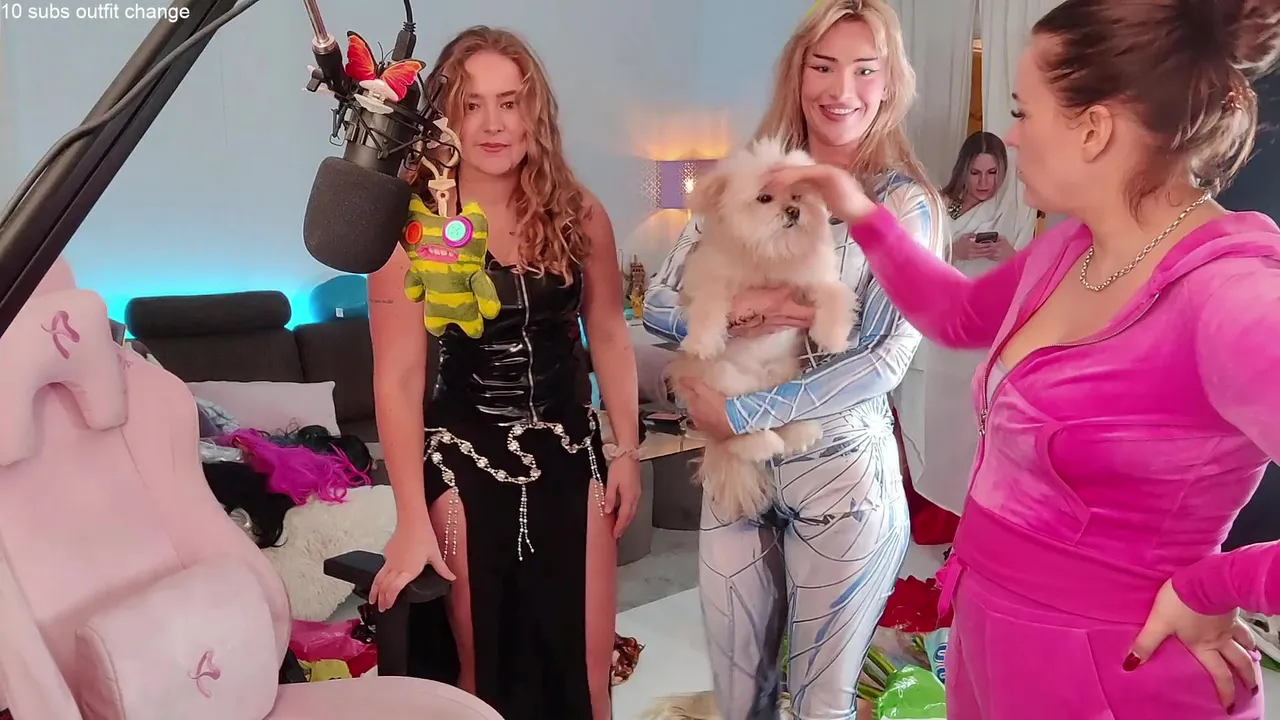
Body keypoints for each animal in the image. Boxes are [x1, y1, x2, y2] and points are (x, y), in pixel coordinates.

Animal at [666, 136, 858, 522]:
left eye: (797, 195)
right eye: (765, 198)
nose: (793, 211)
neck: (770, 253)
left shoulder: (814, 282)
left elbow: (833, 294)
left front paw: (832, 335)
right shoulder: (712, 277)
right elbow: (709, 305)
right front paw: (702, 341)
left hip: (785, 376)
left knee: (781, 413)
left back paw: (800, 432)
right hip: (724, 381)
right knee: (735, 433)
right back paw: (761, 442)